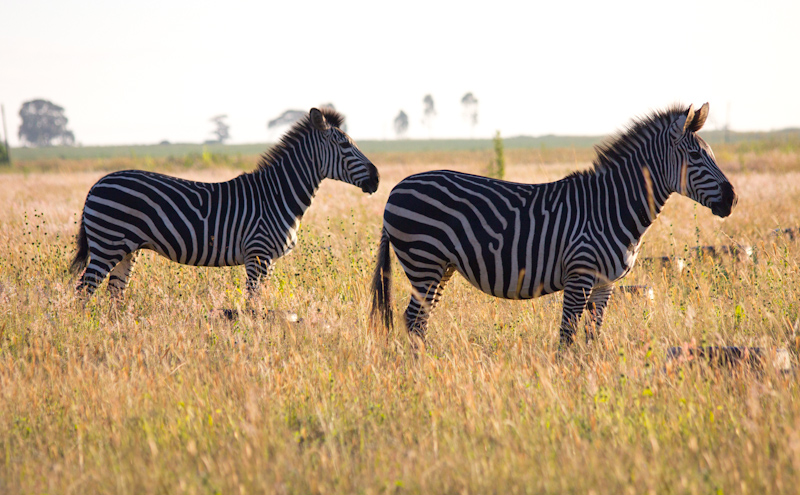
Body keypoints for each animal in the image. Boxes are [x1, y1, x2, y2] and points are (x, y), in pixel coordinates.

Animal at [70, 108, 380, 298]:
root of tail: (97, 184)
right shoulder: (258, 255)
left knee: (115, 293)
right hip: (108, 244)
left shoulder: (268, 260)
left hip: (126, 249)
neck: (278, 194)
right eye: (345, 145)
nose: (377, 178)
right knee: (83, 291)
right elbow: (253, 303)